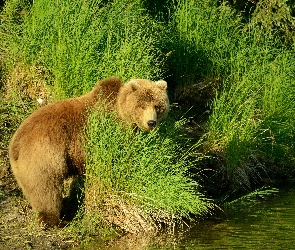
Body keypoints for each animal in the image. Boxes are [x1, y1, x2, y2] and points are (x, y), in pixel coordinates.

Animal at [8, 77, 170, 228]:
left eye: (157, 106)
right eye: (142, 106)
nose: (151, 122)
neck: (121, 110)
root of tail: (15, 143)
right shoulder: (108, 132)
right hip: (45, 154)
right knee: (46, 188)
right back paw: (55, 220)